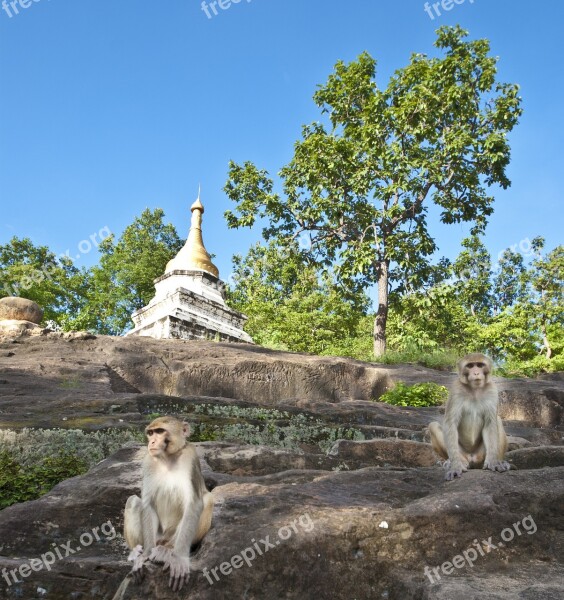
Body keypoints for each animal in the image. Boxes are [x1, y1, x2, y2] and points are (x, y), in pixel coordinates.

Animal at [123, 418, 214, 592]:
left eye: (160, 431)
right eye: (151, 433)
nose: (151, 442)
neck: (168, 458)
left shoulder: (190, 458)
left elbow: (194, 503)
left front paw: (179, 558)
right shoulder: (148, 462)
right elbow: (147, 504)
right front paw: (145, 555)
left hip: (171, 535)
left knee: (208, 500)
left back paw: (167, 551)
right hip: (157, 536)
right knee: (132, 501)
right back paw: (136, 551)